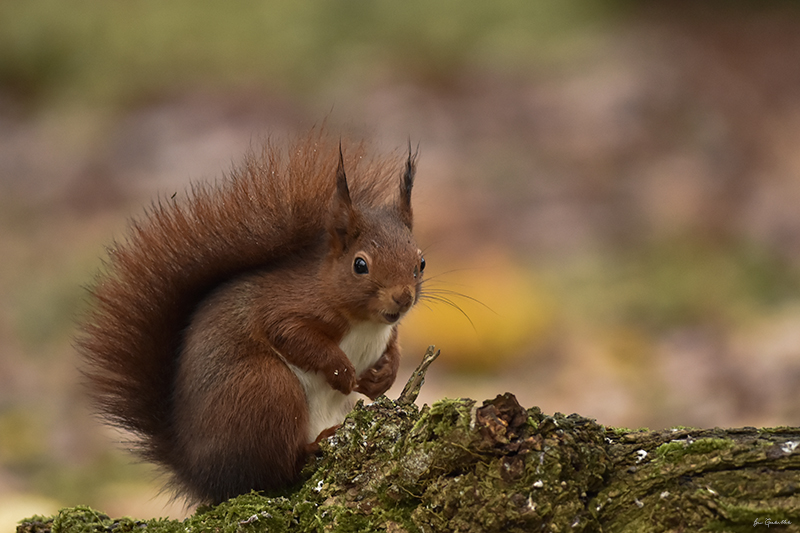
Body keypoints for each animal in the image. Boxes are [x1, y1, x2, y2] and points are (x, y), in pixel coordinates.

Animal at [79, 132, 428, 502]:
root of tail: (201, 476)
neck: (367, 323)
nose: (403, 298)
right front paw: (343, 373)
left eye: (420, 262)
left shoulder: (387, 331)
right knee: (274, 470)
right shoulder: (285, 309)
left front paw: (383, 377)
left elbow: (393, 348)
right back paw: (313, 447)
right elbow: (295, 336)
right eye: (360, 265)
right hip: (266, 388)